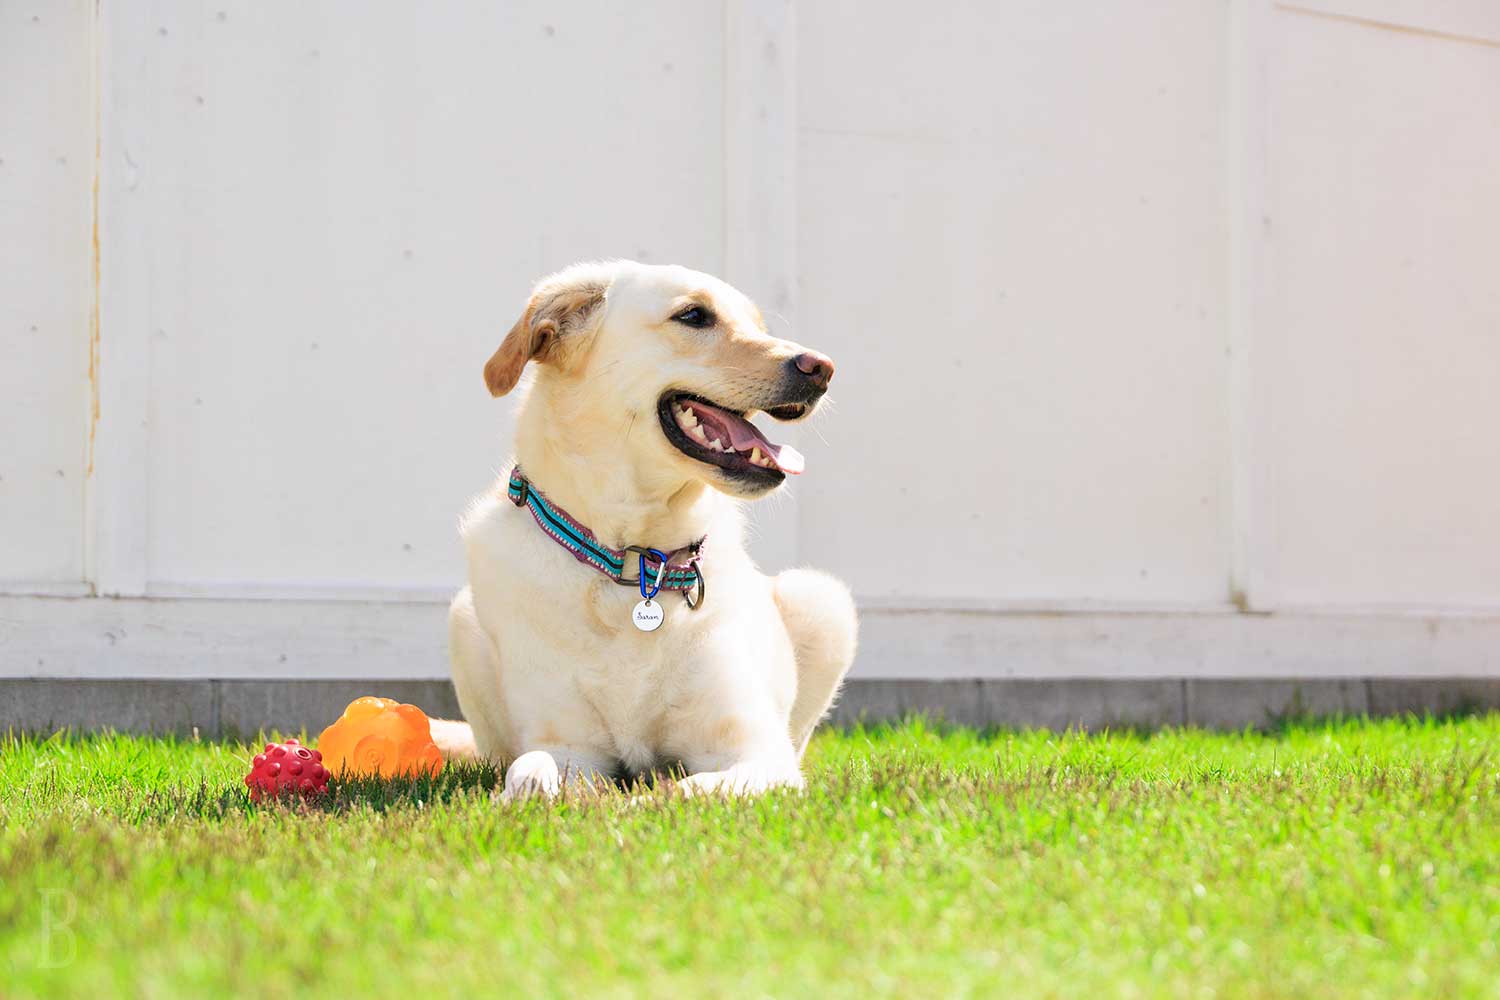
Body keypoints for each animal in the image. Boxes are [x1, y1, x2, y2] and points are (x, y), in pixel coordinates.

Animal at [435, 262, 858, 803]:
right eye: (694, 315)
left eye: (760, 325)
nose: (822, 368)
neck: (636, 563)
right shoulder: (570, 747)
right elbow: (530, 772)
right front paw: (524, 795)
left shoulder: (758, 753)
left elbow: (684, 790)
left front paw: (640, 799)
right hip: (461, 619)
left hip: (822, 601)